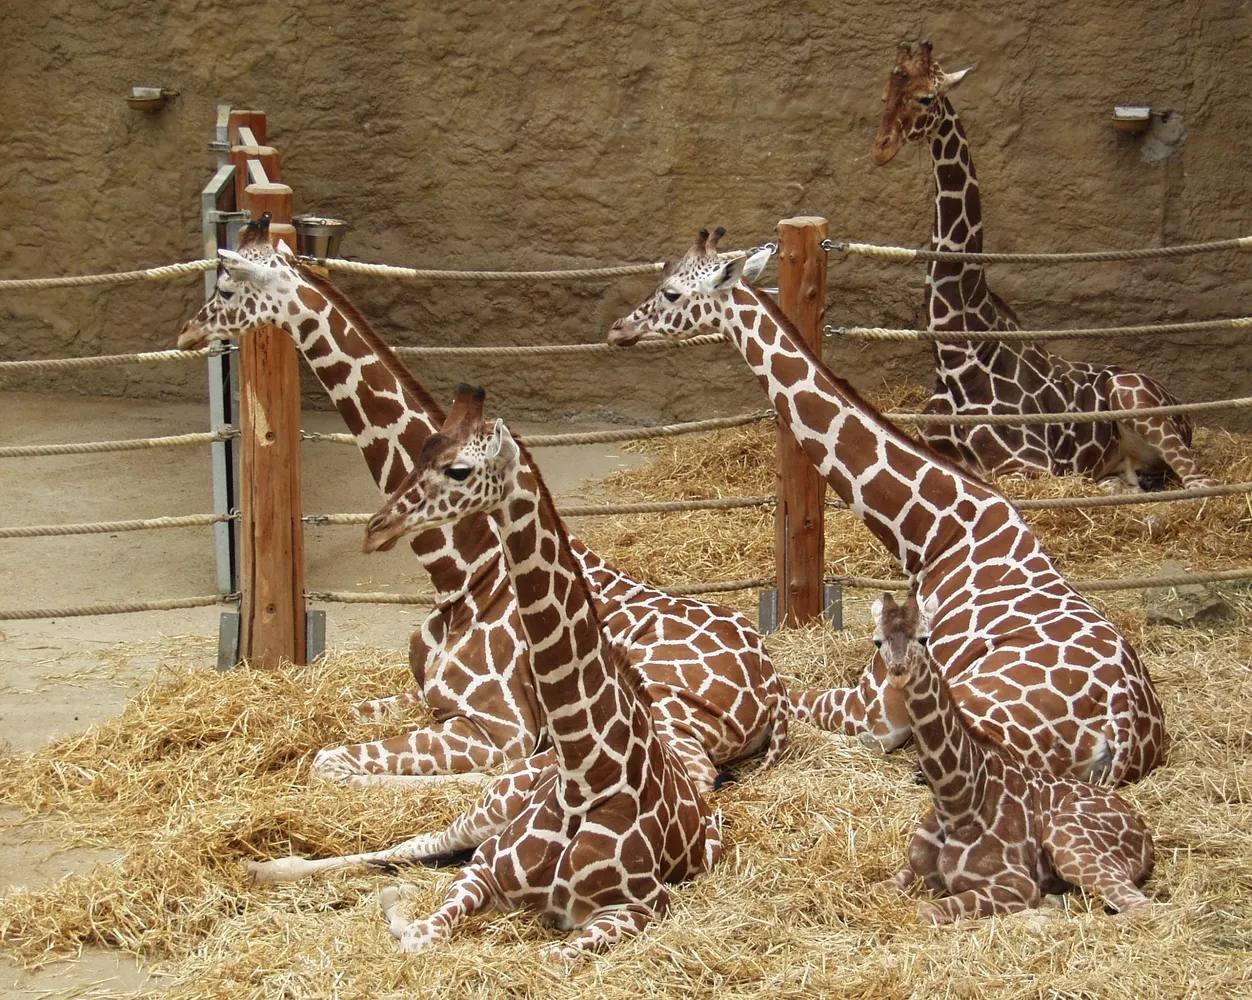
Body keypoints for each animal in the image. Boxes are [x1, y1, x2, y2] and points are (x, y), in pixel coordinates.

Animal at [177, 215, 789, 792]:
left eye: (226, 288)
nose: (186, 330)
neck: (463, 569)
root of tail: (774, 686)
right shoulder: (420, 695)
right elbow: (329, 717)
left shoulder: (498, 726)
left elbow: (329, 761)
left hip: (665, 706)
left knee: (687, 775)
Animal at [363, 385, 720, 958]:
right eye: (420, 453)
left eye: (459, 470)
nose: (376, 530)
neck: (585, 774)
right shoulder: (484, 868)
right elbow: (424, 933)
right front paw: (403, 916)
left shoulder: (639, 907)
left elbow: (553, 957)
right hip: (487, 810)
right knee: (409, 846)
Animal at [607, 229, 1165, 785]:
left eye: (672, 293)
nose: (619, 329)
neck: (933, 537)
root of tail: (1122, 734)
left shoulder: (870, 707)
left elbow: (792, 694)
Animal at [872, 591, 1155, 923]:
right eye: (878, 640)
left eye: (924, 638)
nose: (898, 673)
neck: (955, 802)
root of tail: (1146, 837)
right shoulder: (914, 870)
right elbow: (880, 890)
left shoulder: (1016, 884)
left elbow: (927, 910)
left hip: (1067, 843)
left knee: (1141, 907)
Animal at [873, 41, 1215, 491]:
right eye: (885, 95)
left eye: (926, 98)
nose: (880, 148)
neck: (956, 354)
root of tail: (1182, 408)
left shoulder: (1030, 464)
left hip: (1135, 399)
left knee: (1198, 482)